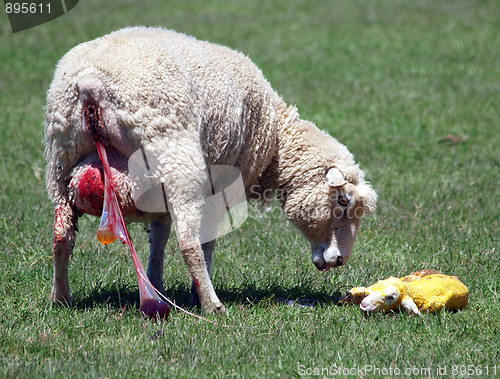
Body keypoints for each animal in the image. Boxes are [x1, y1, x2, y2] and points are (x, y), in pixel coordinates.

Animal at [45, 26, 376, 312]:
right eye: (343, 201)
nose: (339, 261)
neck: (276, 144)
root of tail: (90, 83)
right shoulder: (221, 182)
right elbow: (207, 241)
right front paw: (192, 291)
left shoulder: (159, 189)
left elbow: (159, 238)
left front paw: (156, 285)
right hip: (176, 157)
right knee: (188, 242)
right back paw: (212, 304)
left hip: (61, 160)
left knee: (61, 235)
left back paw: (61, 298)